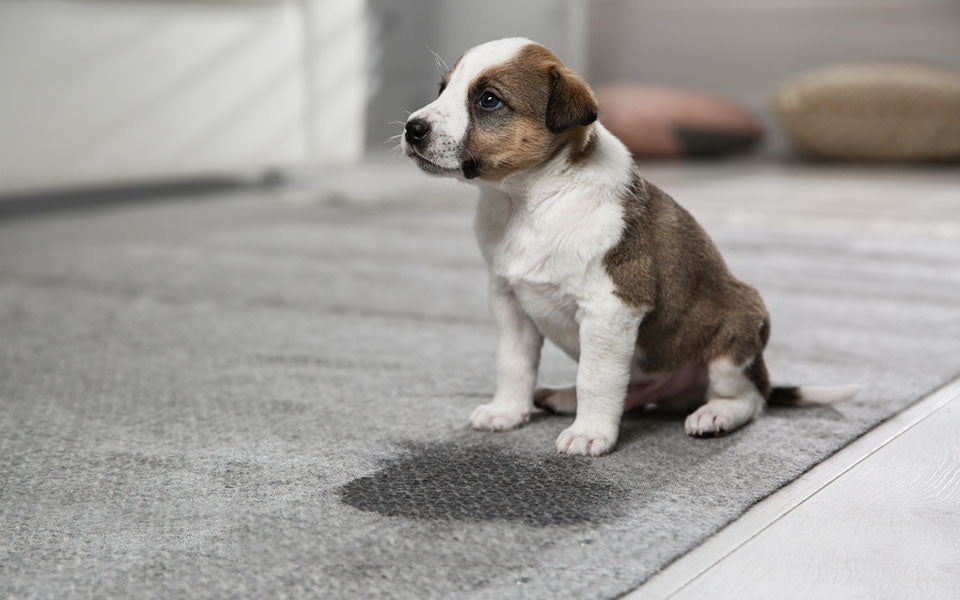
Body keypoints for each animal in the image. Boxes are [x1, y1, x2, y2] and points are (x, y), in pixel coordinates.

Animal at [404, 39, 856, 458]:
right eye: (443, 89)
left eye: (488, 100)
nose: (412, 128)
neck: (531, 202)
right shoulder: (509, 303)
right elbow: (513, 364)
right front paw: (507, 411)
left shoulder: (611, 309)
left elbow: (597, 378)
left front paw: (590, 435)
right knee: (636, 392)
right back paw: (566, 398)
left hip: (735, 339)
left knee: (749, 398)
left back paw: (714, 415)